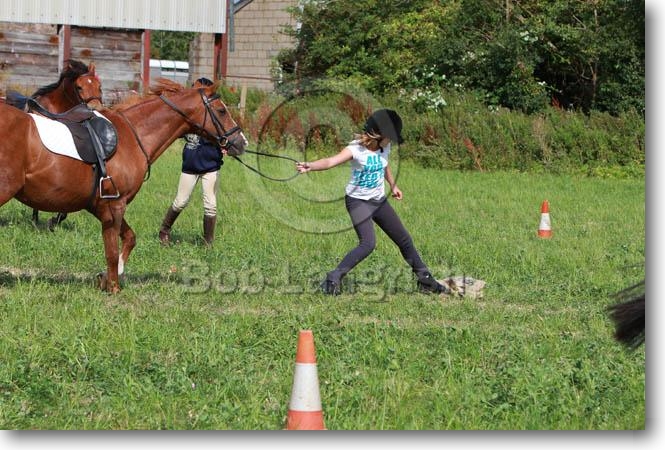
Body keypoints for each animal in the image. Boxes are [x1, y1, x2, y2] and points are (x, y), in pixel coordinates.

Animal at [0, 78, 247, 293]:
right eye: (221, 111)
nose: (241, 142)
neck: (133, 135)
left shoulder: (101, 207)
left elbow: (129, 238)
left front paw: (109, 276)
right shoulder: (117, 205)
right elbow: (112, 249)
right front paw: (113, 286)